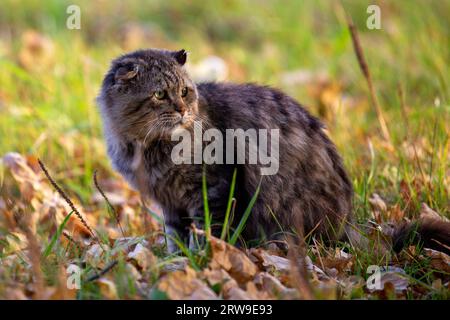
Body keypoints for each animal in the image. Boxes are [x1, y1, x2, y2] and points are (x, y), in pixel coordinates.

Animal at [97, 48, 450, 255]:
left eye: (185, 91)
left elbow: (208, 230)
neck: (146, 147)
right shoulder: (170, 204)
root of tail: (347, 221)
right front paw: (177, 260)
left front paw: (202, 259)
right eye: (159, 95)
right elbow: (175, 236)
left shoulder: (212, 188)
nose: (183, 110)